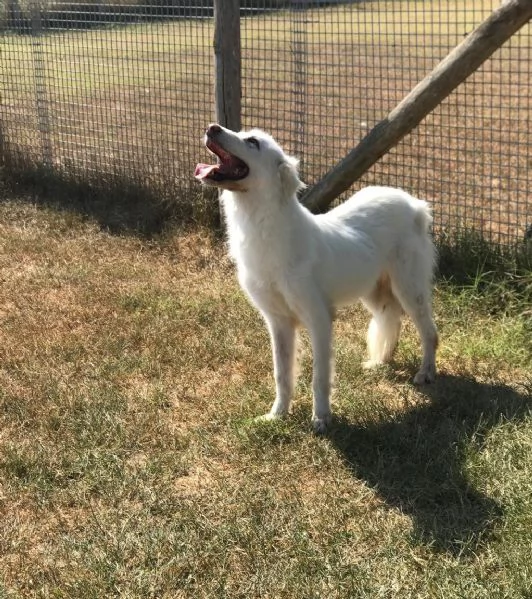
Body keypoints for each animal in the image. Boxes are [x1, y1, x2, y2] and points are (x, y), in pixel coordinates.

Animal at [194, 124, 436, 434]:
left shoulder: (319, 320)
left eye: (253, 142)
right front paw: (277, 415)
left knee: (430, 333)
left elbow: (319, 377)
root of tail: (414, 203)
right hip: (372, 292)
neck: (261, 224)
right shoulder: (278, 323)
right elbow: (282, 374)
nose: (212, 128)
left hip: (409, 289)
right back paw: (380, 362)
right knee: (391, 318)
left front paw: (321, 419)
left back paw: (425, 373)